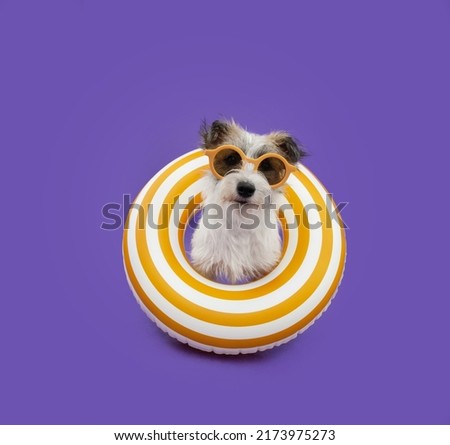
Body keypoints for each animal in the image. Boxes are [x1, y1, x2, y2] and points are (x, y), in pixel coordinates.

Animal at [190, 119, 306, 282]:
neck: (240, 221)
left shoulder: (264, 266)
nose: (245, 188)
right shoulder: (203, 265)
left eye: (266, 165)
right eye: (231, 158)